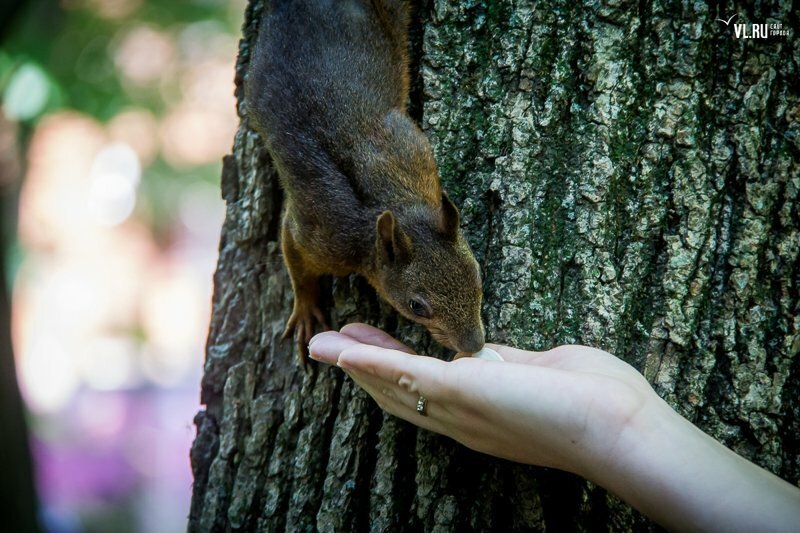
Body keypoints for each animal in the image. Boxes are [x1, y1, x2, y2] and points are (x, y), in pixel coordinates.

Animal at [244, 0, 484, 362]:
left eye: (477, 273)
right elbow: (293, 253)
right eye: (416, 305)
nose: (475, 346)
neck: (392, 203)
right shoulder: (321, 232)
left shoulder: (412, 150)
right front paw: (305, 308)